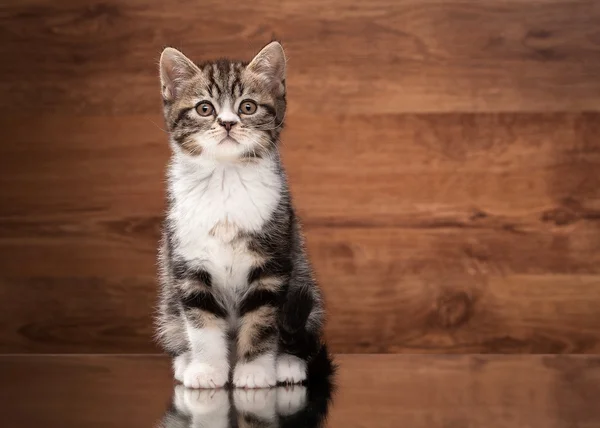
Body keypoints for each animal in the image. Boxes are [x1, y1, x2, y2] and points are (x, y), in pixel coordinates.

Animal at [156, 42, 328, 388]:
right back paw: (185, 361)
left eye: (247, 107)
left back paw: (287, 364)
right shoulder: (188, 264)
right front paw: (208, 369)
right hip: (167, 303)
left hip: (306, 284)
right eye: (204, 109)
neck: (225, 177)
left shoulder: (272, 263)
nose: (227, 122)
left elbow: (262, 319)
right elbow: (202, 322)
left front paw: (255, 371)